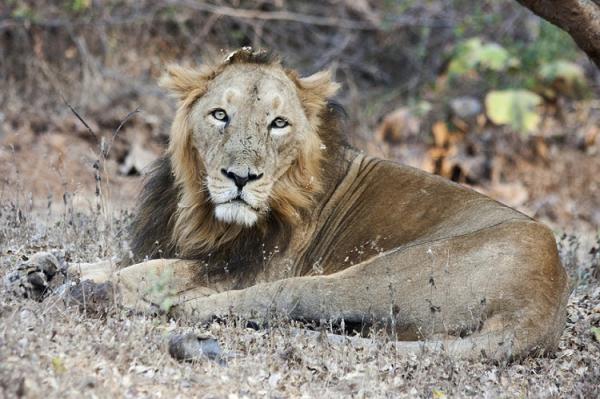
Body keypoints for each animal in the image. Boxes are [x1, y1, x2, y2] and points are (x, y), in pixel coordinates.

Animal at [5, 48, 568, 360]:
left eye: (278, 123)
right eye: (220, 115)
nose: (240, 177)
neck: (199, 210)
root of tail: (545, 304)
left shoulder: (240, 267)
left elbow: (154, 271)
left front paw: (79, 284)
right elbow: (116, 258)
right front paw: (42, 267)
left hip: (377, 273)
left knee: (270, 304)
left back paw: (108, 301)